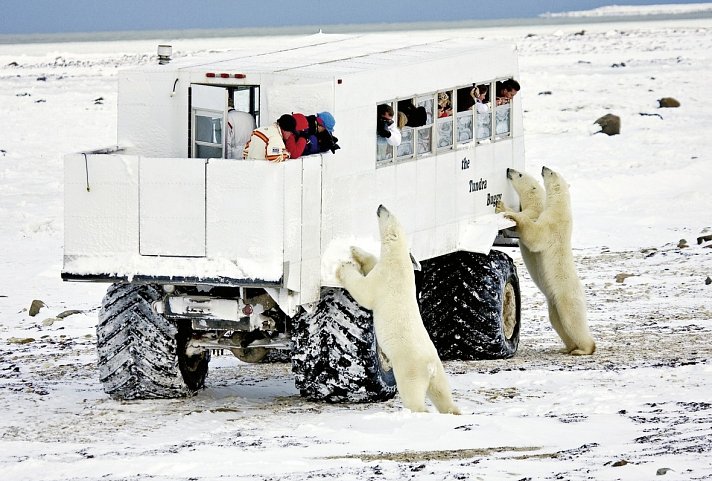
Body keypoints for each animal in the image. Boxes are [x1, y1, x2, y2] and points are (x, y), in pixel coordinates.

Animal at [336, 203, 458, 412]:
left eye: (388, 214)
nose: (380, 205)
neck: (399, 259)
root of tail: (430, 366)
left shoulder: (385, 277)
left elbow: (364, 291)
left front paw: (344, 266)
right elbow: (371, 263)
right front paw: (356, 250)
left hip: (410, 368)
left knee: (413, 395)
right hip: (438, 371)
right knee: (443, 393)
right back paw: (453, 412)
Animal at [500, 167, 596, 354]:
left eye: (520, 174)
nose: (508, 169)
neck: (560, 208)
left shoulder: (551, 224)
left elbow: (535, 234)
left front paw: (506, 211)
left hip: (566, 297)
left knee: (573, 320)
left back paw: (584, 349)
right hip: (554, 304)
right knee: (558, 322)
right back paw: (568, 348)